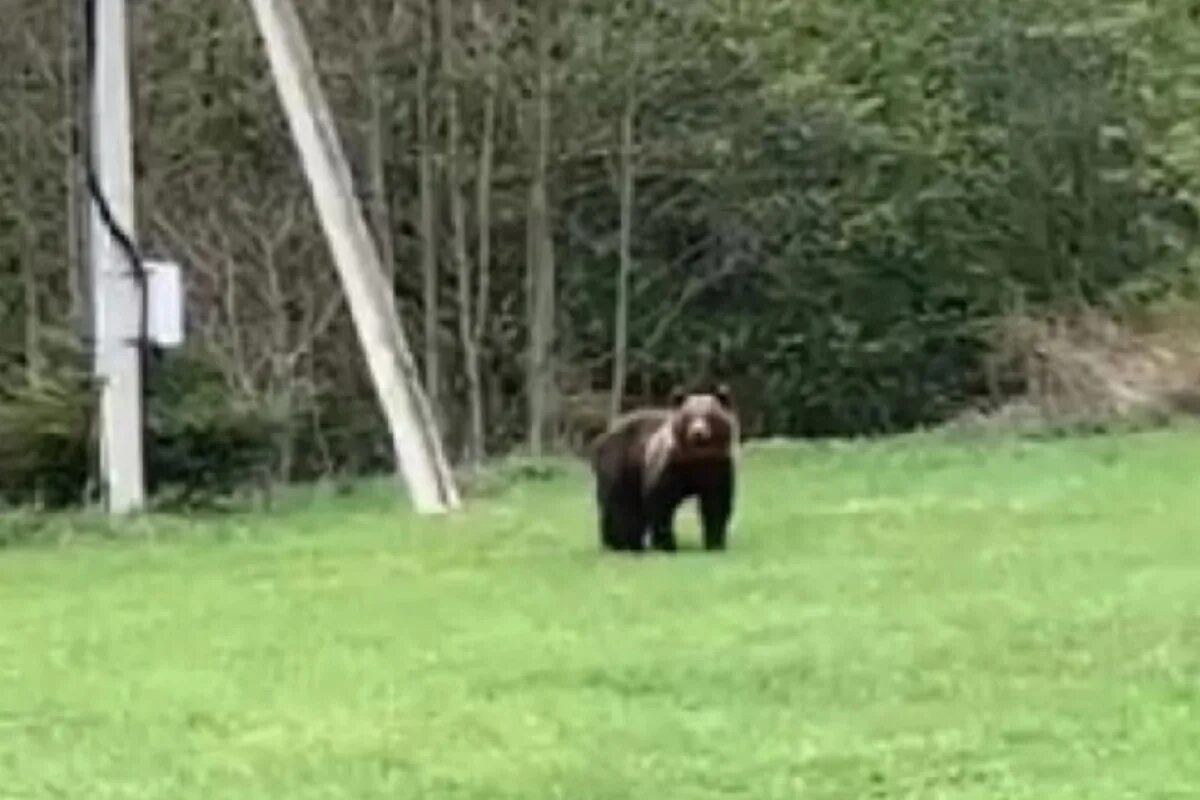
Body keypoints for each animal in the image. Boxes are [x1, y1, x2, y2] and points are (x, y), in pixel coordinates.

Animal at [585, 386, 734, 551]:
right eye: (689, 416)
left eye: (710, 416)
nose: (698, 433)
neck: (695, 459)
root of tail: (603, 436)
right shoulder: (669, 466)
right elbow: (660, 502)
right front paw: (667, 544)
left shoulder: (717, 467)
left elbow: (717, 504)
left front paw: (715, 543)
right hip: (621, 461)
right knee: (622, 504)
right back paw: (625, 543)